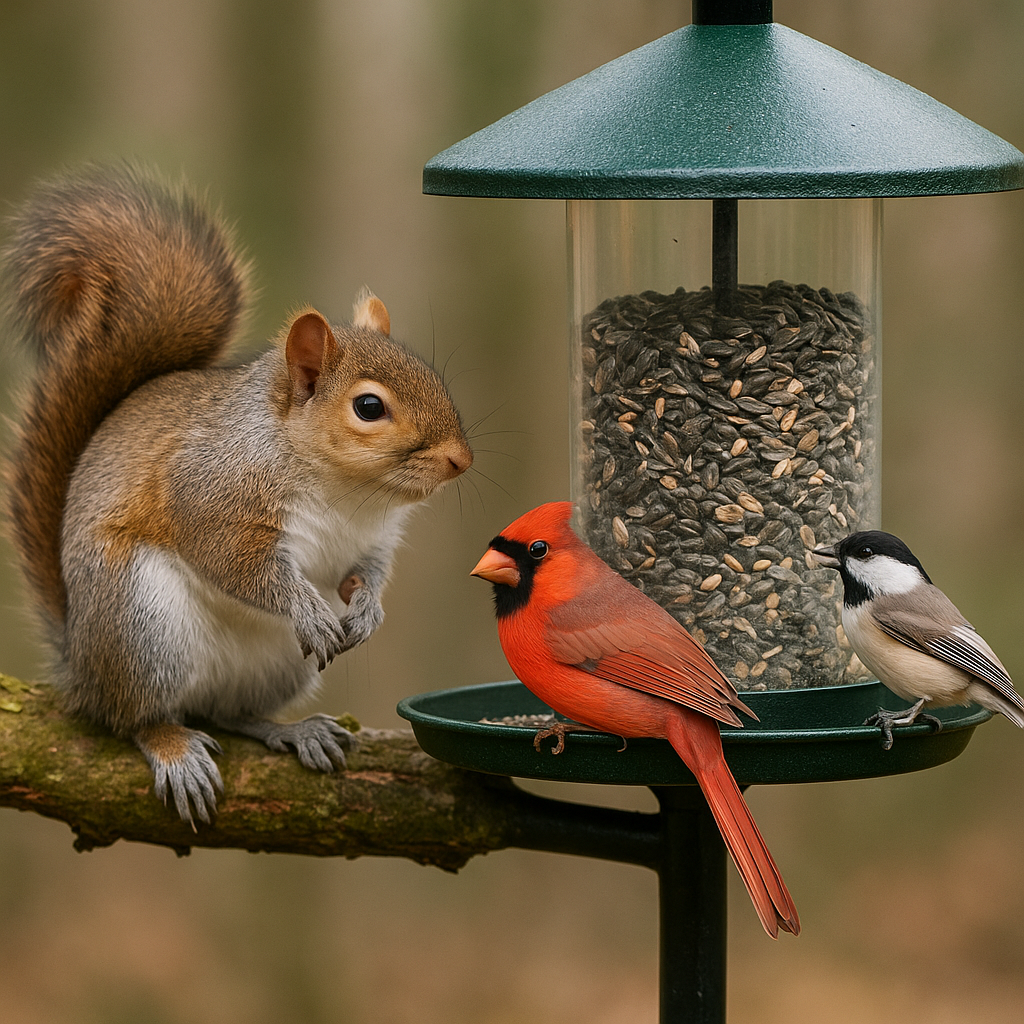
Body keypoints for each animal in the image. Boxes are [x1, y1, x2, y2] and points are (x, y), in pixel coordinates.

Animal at [2, 163, 473, 825]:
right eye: (368, 407)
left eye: (433, 375)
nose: (461, 460)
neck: (347, 492)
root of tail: (81, 668)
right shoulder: (212, 496)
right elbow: (240, 565)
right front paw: (308, 607)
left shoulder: (371, 537)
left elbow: (364, 572)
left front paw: (366, 609)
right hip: (141, 624)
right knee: (134, 718)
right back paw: (172, 747)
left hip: (272, 665)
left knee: (227, 713)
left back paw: (293, 731)